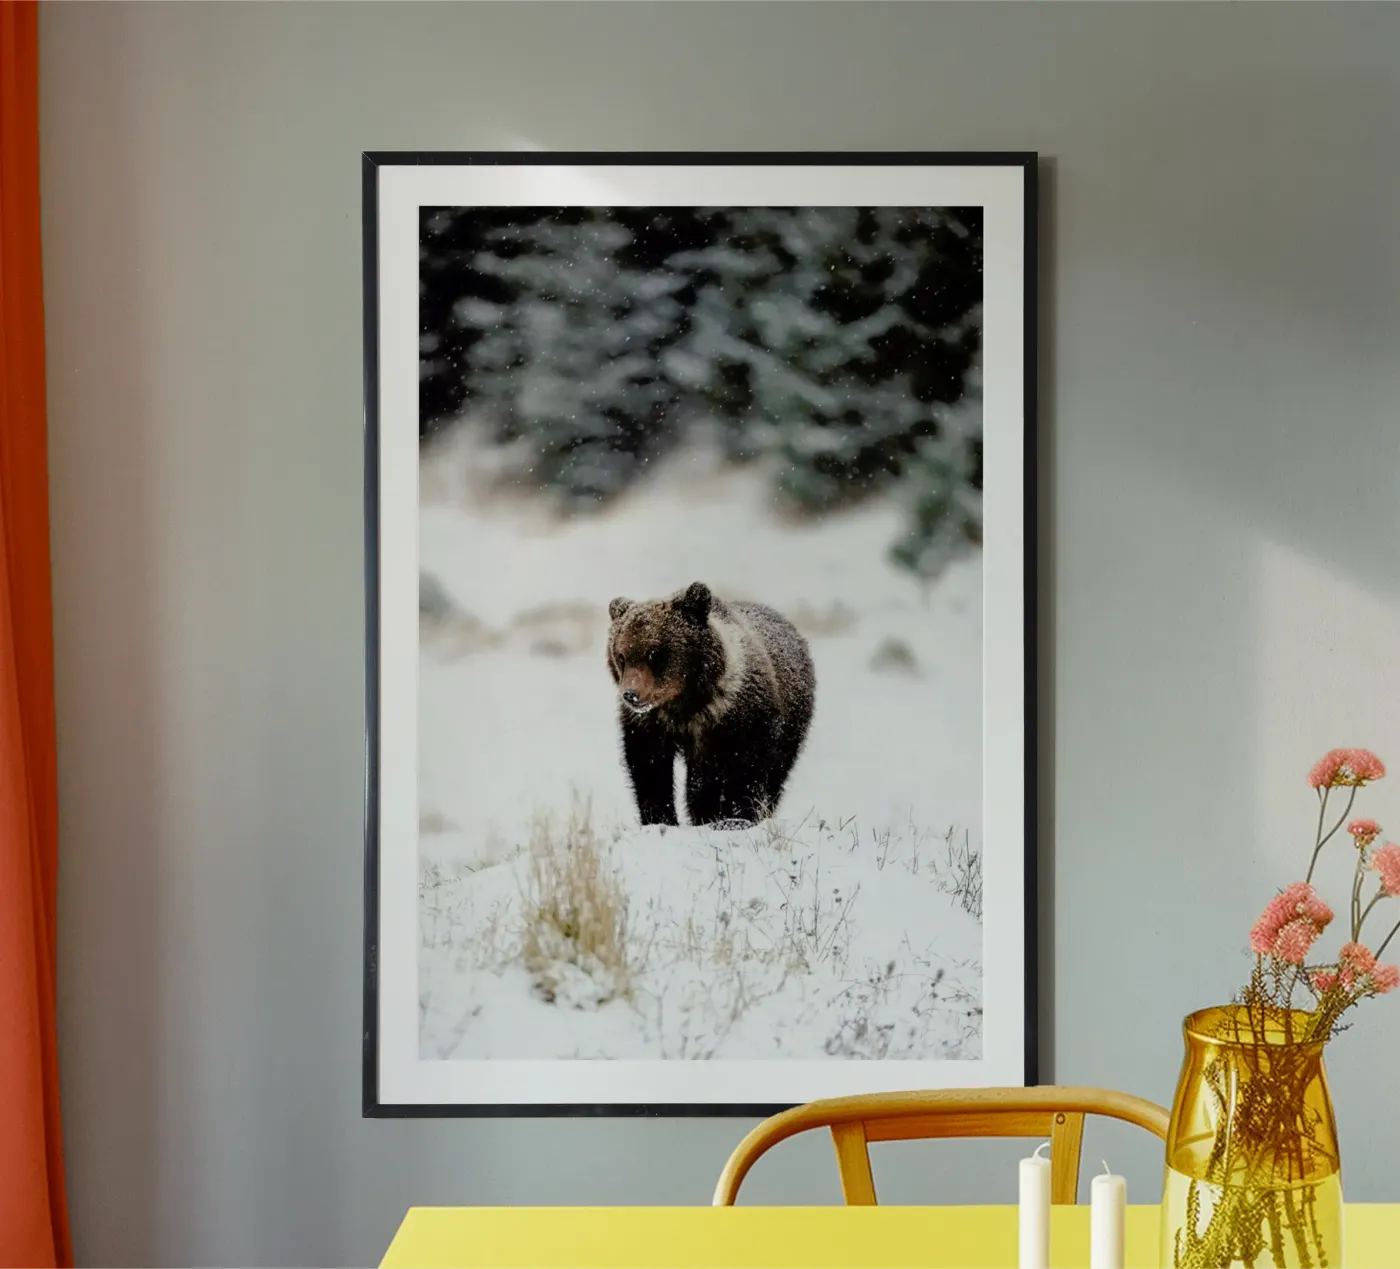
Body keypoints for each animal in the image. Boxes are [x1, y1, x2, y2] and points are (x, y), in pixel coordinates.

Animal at [605, 581, 816, 828]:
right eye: (621, 656)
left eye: (654, 653)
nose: (631, 694)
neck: (685, 705)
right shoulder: (650, 725)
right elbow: (650, 770)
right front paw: (661, 819)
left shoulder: (740, 720)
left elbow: (744, 772)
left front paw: (735, 817)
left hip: (792, 725)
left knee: (776, 774)